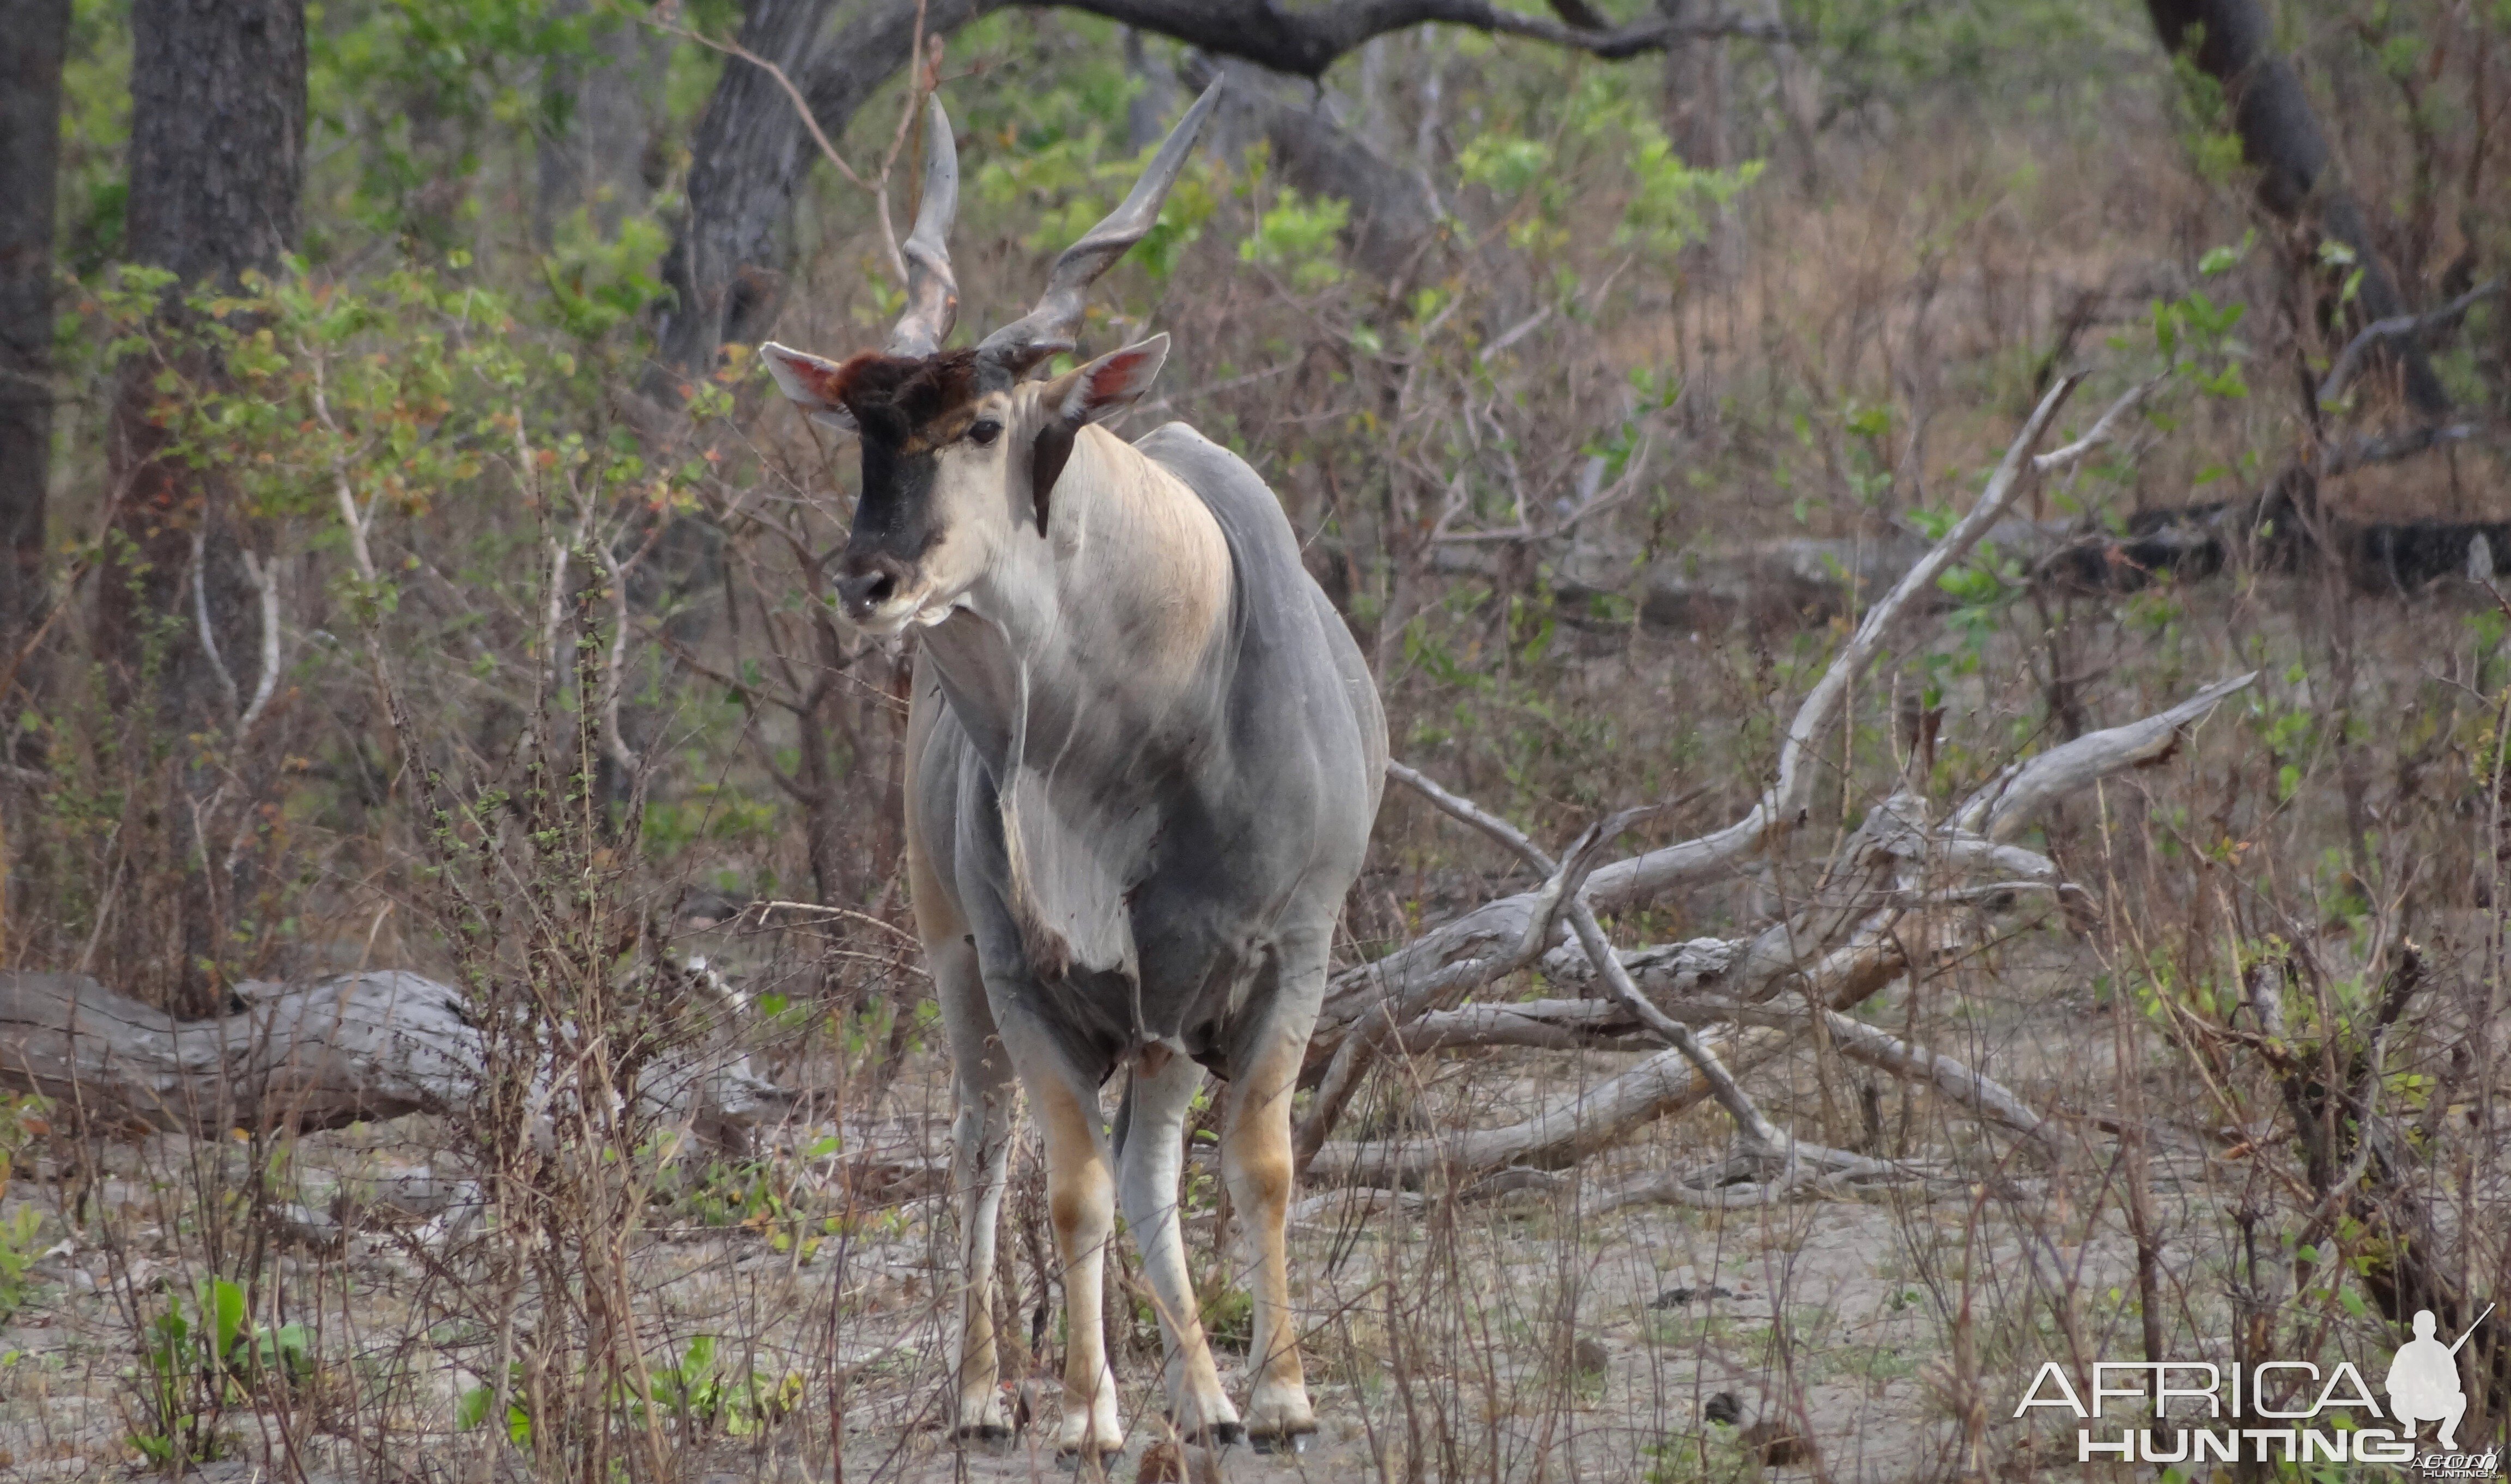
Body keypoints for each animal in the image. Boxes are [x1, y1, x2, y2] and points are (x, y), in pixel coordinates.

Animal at [763, 78, 1396, 1456]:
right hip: (957, 967)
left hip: (1160, 1034)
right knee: (980, 1146)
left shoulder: (1288, 954)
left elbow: (1257, 1163)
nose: (867, 580)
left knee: (1155, 1165)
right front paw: (1084, 1413)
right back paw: (985, 1395)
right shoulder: (1024, 978)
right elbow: (1070, 1189)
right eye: (861, 430)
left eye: (985, 424)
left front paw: (1278, 1395)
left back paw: (1205, 1395)